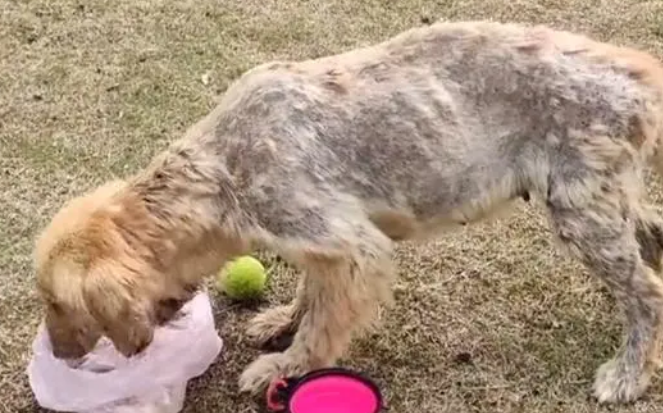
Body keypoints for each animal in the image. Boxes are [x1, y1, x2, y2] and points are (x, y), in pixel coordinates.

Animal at [32, 20, 663, 402]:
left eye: (58, 304)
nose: (59, 356)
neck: (223, 170)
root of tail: (639, 73)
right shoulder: (321, 247)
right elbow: (311, 297)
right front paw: (281, 322)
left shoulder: (355, 248)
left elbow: (321, 328)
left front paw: (284, 366)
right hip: (603, 204)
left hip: (580, 213)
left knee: (647, 293)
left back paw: (628, 373)